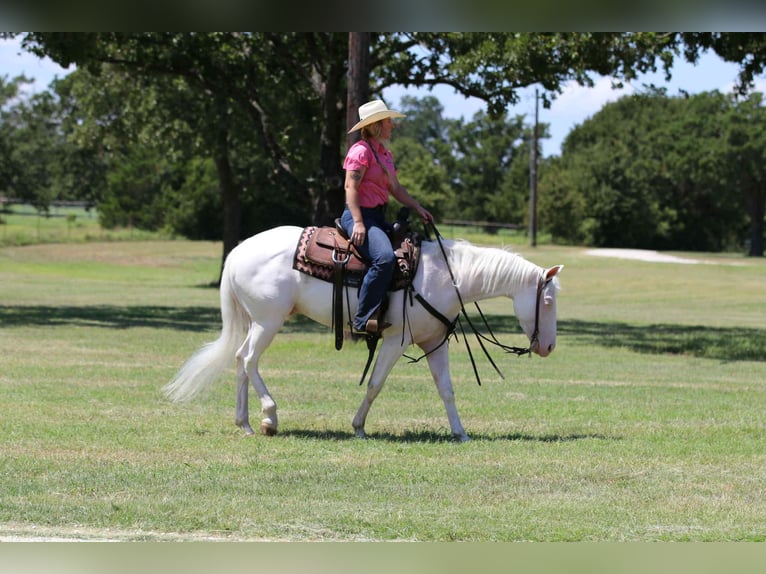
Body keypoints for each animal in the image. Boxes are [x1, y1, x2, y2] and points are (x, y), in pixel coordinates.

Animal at [163, 225, 563, 442]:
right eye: (547, 301)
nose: (548, 346)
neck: (445, 275)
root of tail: (237, 252)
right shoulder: (396, 341)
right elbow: (375, 384)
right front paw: (358, 427)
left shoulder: (434, 343)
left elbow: (446, 390)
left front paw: (460, 432)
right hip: (268, 321)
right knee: (248, 359)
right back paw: (269, 416)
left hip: (260, 321)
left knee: (239, 360)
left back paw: (245, 422)